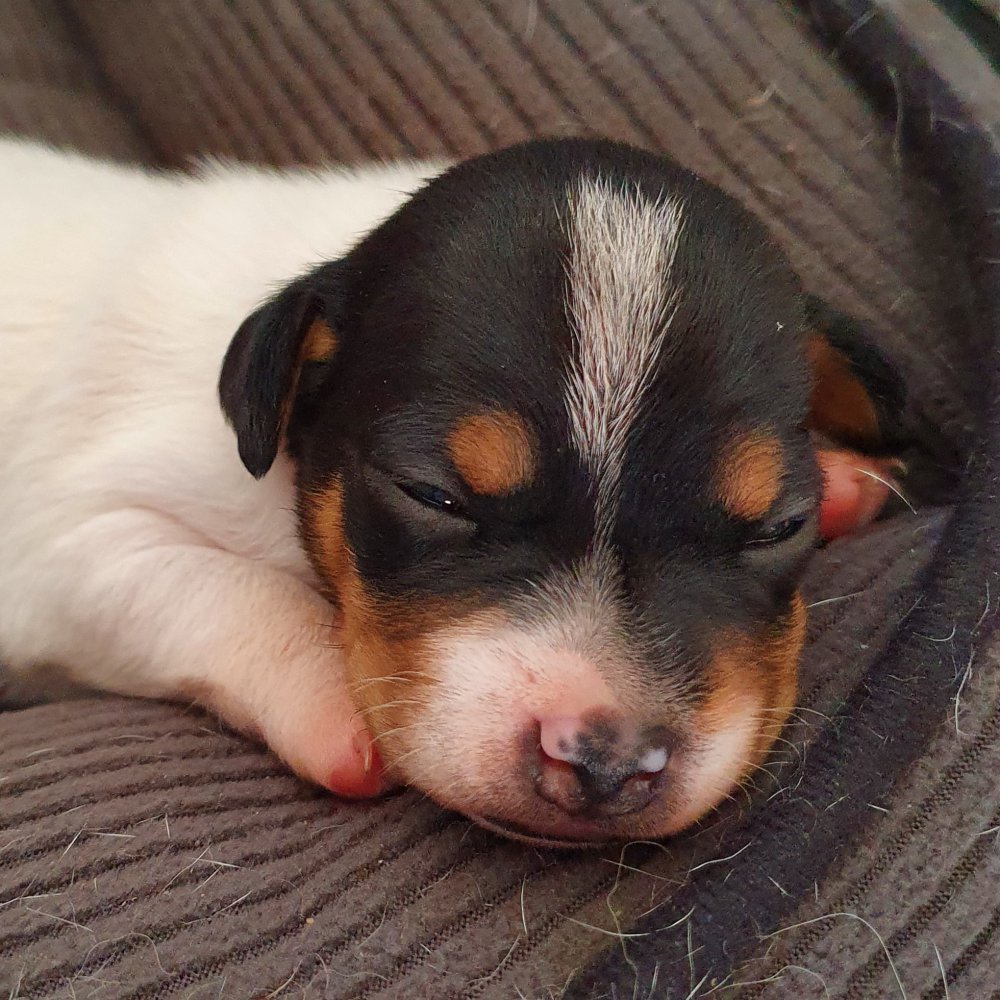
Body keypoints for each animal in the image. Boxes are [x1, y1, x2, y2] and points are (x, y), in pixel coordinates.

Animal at [0, 137, 907, 846]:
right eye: (434, 495)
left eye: (777, 526)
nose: (606, 765)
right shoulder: (72, 549)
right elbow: (222, 589)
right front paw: (333, 701)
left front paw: (843, 485)